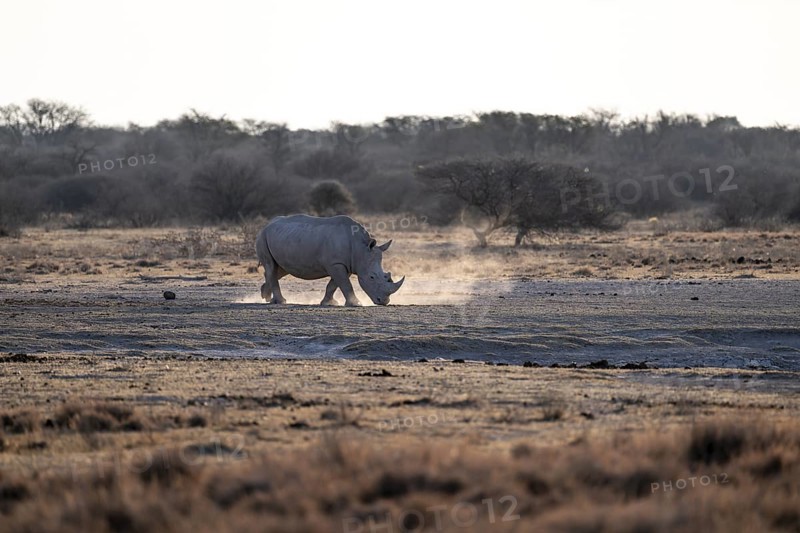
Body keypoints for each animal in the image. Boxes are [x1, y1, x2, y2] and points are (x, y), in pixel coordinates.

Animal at [255, 214, 405, 306]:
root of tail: (266, 224)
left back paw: (266, 296)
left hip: (282, 237)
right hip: (263, 236)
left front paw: (329, 303)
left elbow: (334, 285)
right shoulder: (336, 264)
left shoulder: (346, 264)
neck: (360, 250)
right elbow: (345, 285)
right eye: (372, 277)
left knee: (279, 269)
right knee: (271, 266)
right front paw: (356, 304)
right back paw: (280, 301)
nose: (384, 301)